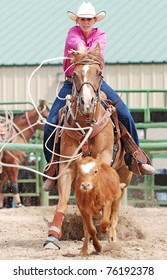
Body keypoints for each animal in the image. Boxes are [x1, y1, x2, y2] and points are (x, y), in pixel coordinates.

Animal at [43, 45, 132, 249]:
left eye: (99, 73)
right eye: (74, 74)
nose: (86, 102)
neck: (86, 126)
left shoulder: (103, 159)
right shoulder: (67, 167)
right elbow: (63, 200)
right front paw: (53, 236)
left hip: (125, 173)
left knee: (116, 202)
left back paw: (111, 235)